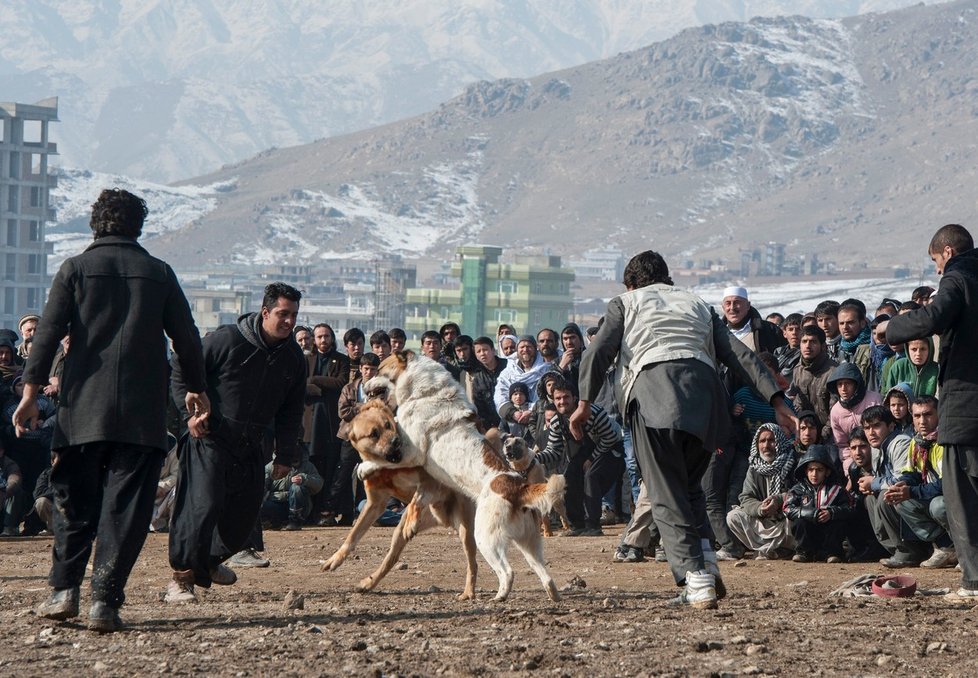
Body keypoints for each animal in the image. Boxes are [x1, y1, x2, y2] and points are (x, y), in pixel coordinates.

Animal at [320, 398, 476, 600]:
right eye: (374, 434)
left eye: (388, 424)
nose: (396, 440)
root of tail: (445, 518)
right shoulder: (375, 504)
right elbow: (353, 535)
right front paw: (335, 559)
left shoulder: (430, 482)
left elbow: (417, 498)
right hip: (400, 531)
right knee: (391, 558)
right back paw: (368, 582)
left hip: (466, 529)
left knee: (473, 563)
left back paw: (468, 592)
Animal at [364, 354, 564, 604]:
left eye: (380, 368)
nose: (364, 385)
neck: (425, 392)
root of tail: (519, 487)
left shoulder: (412, 451)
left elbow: (388, 458)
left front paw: (364, 467)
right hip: (529, 543)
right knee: (543, 571)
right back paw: (552, 593)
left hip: (485, 538)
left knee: (507, 571)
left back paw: (500, 595)